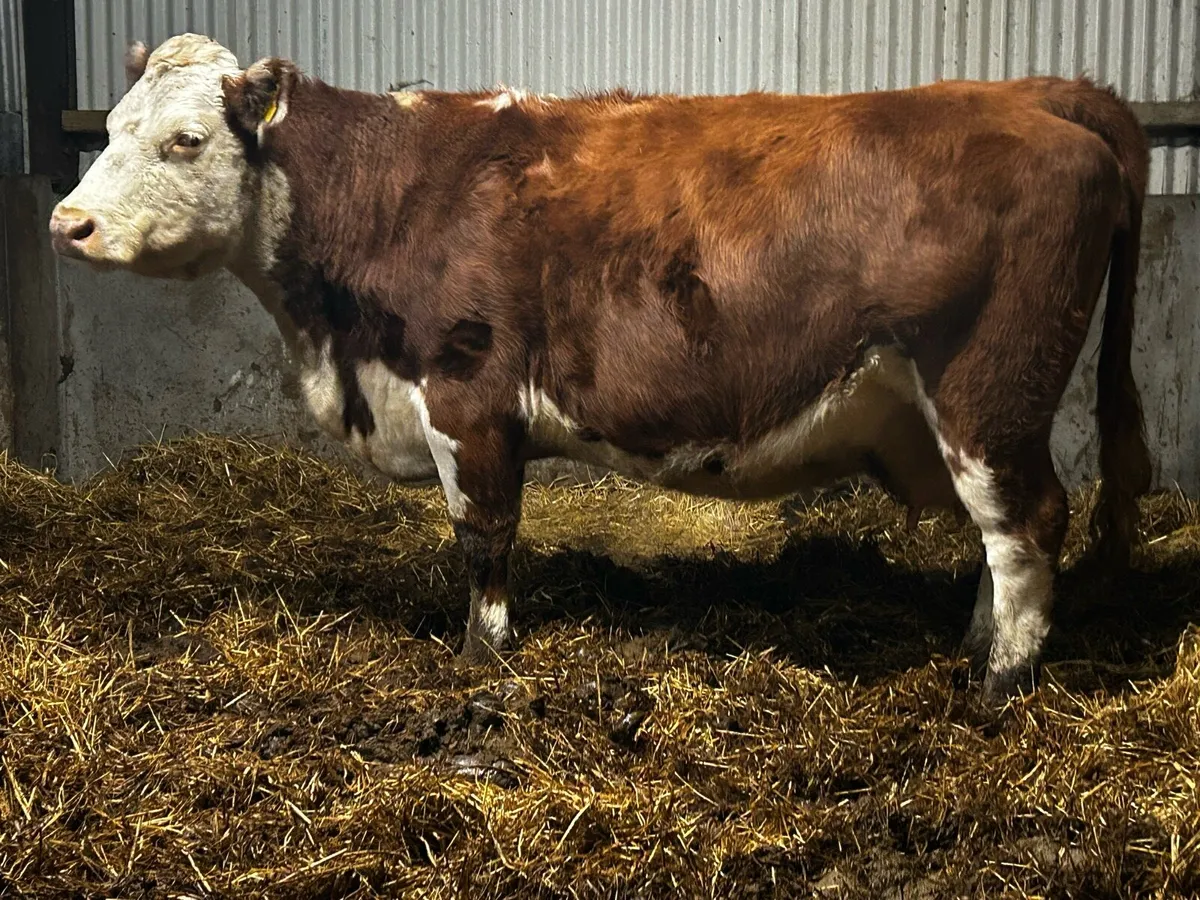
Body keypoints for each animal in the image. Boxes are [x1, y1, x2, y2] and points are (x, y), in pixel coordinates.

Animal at [49, 33, 1151, 706]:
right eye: (105, 129)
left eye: (187, 139)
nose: (67, 223)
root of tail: (1036, 94)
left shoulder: (468, 399)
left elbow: (484, 537)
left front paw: (481, 654)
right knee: (1001, 537)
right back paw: (974, 649)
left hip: (987, 390)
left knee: (1026, 525)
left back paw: (999, 686)